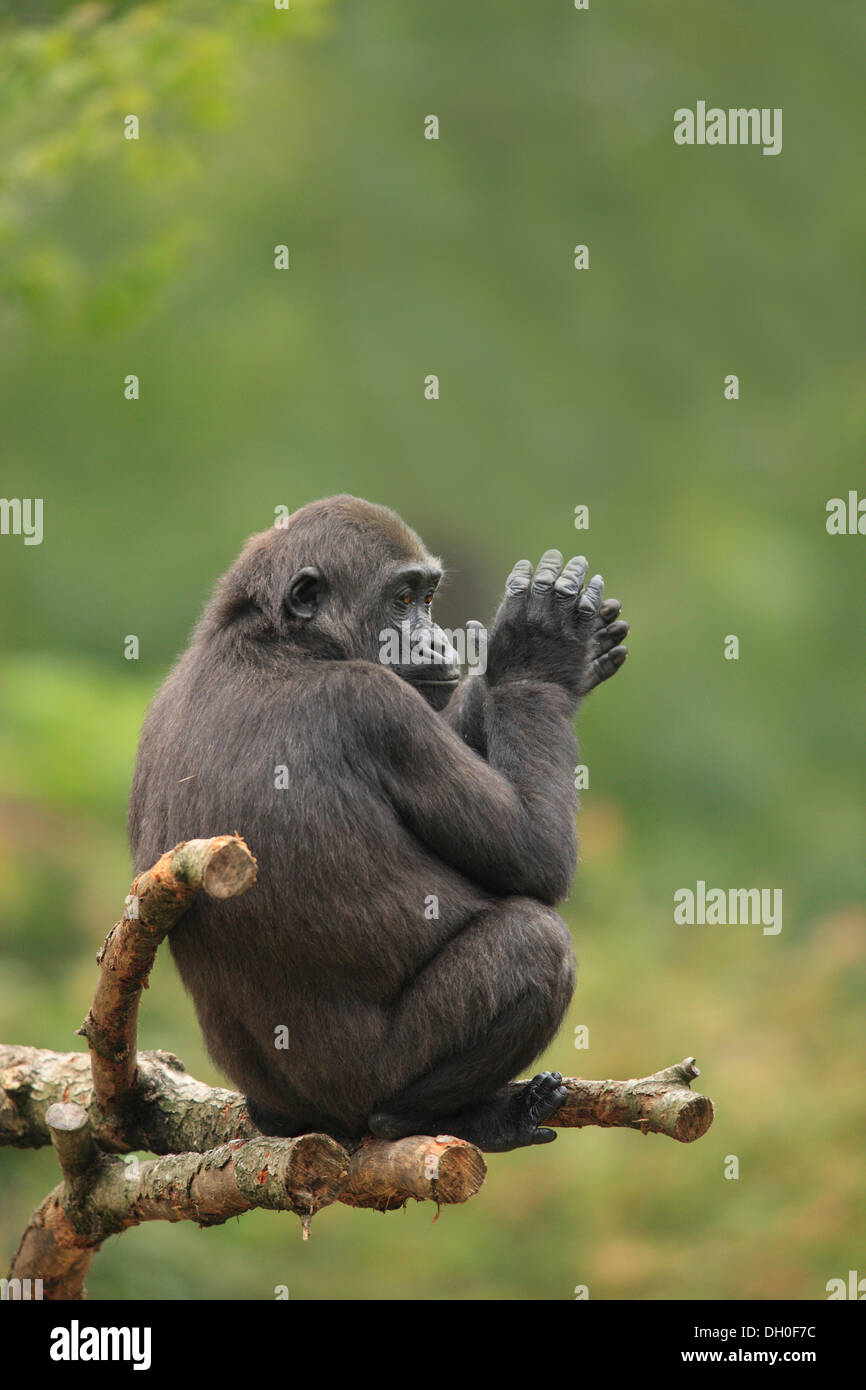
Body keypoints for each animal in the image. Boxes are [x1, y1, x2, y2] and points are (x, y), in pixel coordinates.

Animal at [127, 494, 631, 1145]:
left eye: (427, 598)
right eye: (402, 599)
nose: (436, 640)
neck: (277, 639)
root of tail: (324, 1121)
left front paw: (509, 667)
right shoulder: (377, 706)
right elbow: (536, 855)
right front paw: (536, 658)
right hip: (367, 1082)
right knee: (533, 940)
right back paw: (429, 1114)